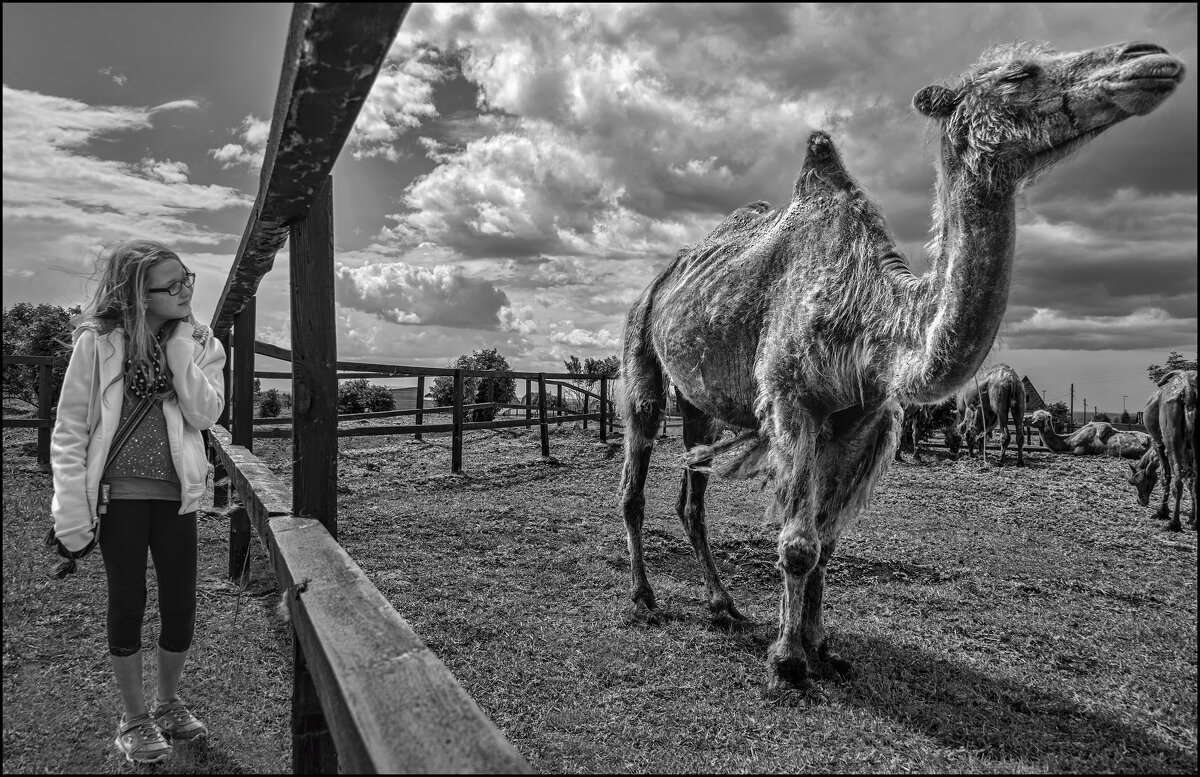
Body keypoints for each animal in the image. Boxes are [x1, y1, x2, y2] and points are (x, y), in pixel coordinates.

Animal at [1137, 369, 1195, 527]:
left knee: (1177, 480)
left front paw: (1163, 512)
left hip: (1171, 438)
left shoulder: (1158, 443)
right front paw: (1192, 517)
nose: (1141, 501)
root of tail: (1188, 389)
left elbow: (1166, 476)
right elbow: (1191, 481)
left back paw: (1174, 523)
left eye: (1137, 482)